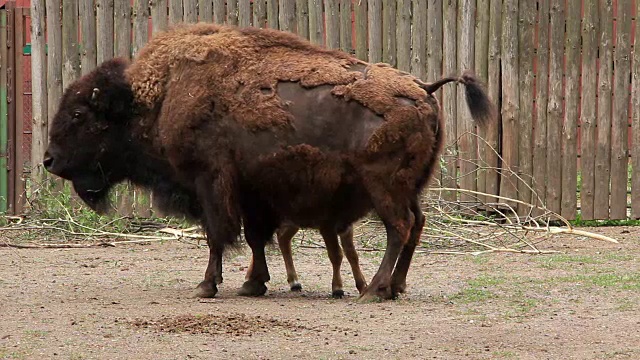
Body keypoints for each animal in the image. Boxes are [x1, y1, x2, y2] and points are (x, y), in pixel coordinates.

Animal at [43, 23, 496, 300]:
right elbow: (256, 238)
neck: (157, 98)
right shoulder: (253, 193)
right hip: (410, 187)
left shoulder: (211, 184)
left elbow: (217, 236)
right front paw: (252, 284)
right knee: (415, 225)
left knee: (399, 228)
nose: (49, 160)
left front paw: (207, 286)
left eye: (80, 114)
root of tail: (423, 88)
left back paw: (374, 290)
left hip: (384, 186)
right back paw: (395, 287)